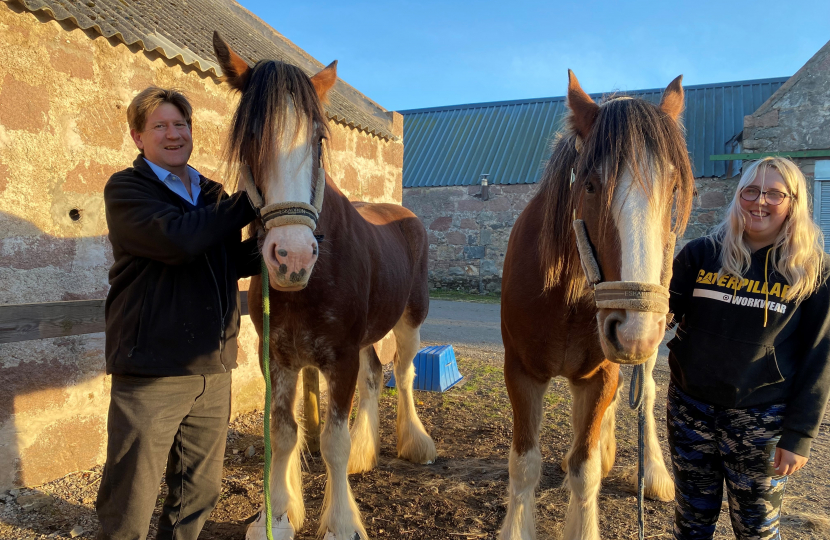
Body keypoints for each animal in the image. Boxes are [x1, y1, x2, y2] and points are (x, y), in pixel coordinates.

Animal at [211, 32, 438, 540]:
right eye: (250, 136)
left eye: (318, 137)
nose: (292, 257)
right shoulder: (278, 357)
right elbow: (282, 434)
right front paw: (275, 516)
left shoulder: (340, 356)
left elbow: (332, 441)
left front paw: (341, 523)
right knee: (376, 374)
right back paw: (364, 455)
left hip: (410, 319)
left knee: (405, 375)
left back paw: (416, 444)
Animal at [500, 73, 696, 540]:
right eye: (589, 184)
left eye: (673, 188)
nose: (633, 331)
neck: (568, 296)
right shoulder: (521, 372)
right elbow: (524, 465)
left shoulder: (600, 376)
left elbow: (584, 469)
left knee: (645, 394)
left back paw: (654, 472)